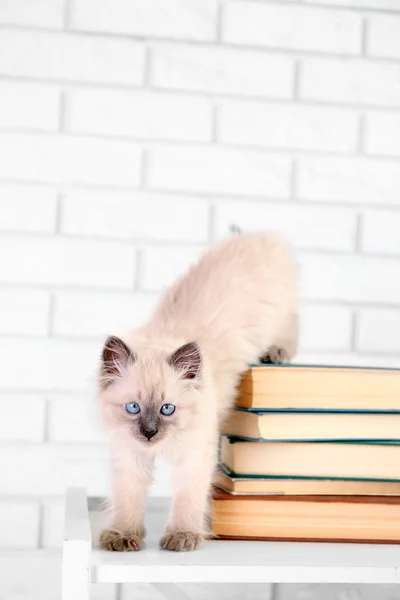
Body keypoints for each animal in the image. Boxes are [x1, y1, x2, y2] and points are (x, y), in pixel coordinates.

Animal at [97, 233, 296, 552]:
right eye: (133, 408)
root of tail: (258, 235)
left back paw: (276, 354)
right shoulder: (130, 457)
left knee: (292, 328)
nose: (149, 433)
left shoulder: (193, 456)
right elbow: (128, 501)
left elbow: (187, 500)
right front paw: (123, 536)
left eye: (167, 409)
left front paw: (182, 536)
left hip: (280, 314)